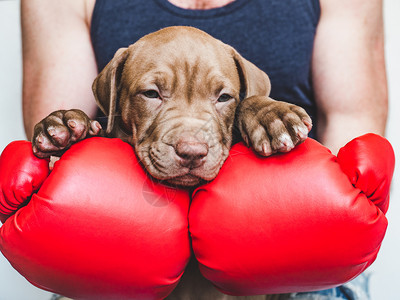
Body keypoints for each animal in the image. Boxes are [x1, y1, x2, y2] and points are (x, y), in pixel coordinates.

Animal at [32, 25, 312, 188]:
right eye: (151, 94)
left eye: (223, 98)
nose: (192, 152)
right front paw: (62, 128)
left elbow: (249, 101)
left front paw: (272, 116)